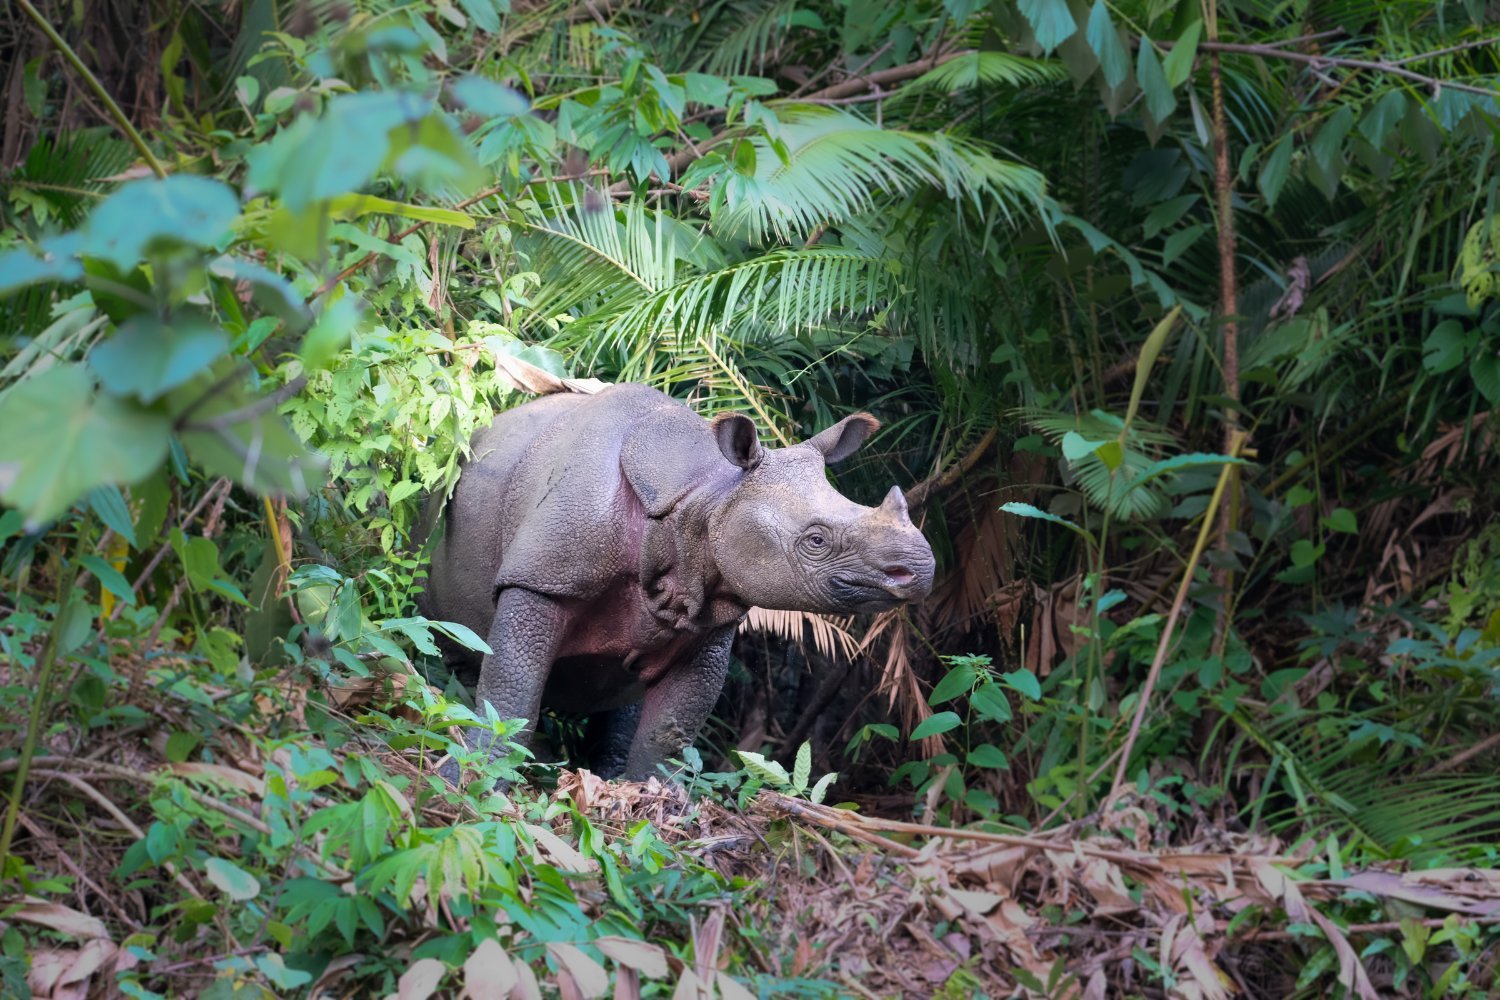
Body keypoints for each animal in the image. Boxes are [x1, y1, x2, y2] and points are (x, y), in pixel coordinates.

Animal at [423, 383, 930, 779]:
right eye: (816, 540)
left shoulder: (707, 618)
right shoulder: (543, 575)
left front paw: (652, 801)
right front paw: (474, 775)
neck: (704, 498)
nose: (921, 570)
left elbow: (668, 733)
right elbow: (510, 692)